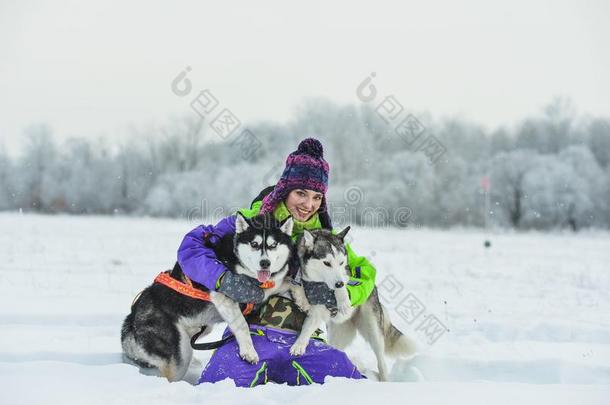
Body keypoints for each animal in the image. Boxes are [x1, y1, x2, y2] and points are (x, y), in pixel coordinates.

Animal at [119, 213, 300, 380]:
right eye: (254, 244)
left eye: (273, 245)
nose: (265, 263)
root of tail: (132, 318)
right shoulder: (224, 297)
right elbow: (242, 325)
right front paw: (249, 352)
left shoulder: (273, 285)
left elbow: (290, 283)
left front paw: (300, 298)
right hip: (179, 355)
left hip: (200, 330)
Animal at [288, 229, 414, 380]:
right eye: (327, 263)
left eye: (341, 262)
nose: (338, 283)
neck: (318, 283)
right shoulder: (316, 309)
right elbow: (306, 325)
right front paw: (299, 344)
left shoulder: (346, 274)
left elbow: (345, 283)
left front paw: (343, 300)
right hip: (337, 335)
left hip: (373, 330)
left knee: (381, 362)